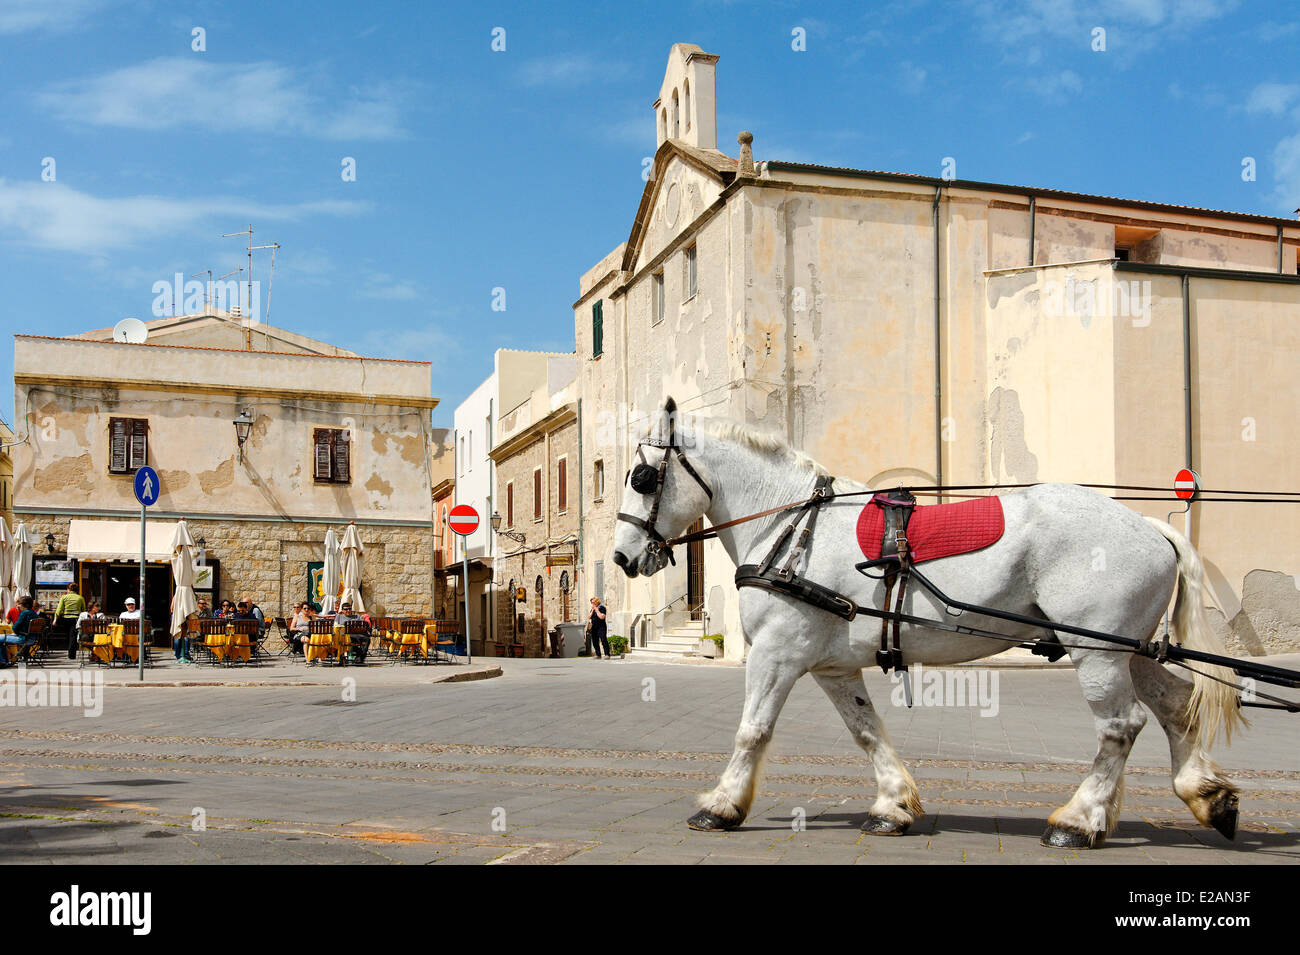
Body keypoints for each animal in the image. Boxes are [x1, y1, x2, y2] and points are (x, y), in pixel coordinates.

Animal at [613, 400, 1242, 847]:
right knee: (1176, 706)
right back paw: (1206, 794)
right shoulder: (831, 667)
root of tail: (1150, 525)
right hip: (1129, 650)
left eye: (642, 477)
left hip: (1097, 651)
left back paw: (1079, 820)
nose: (622, 558)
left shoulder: (777, 654)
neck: (792, 528)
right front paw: (893, 806)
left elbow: (752, 730)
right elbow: (867, 732)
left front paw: (721, 805)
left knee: (1120, 726)